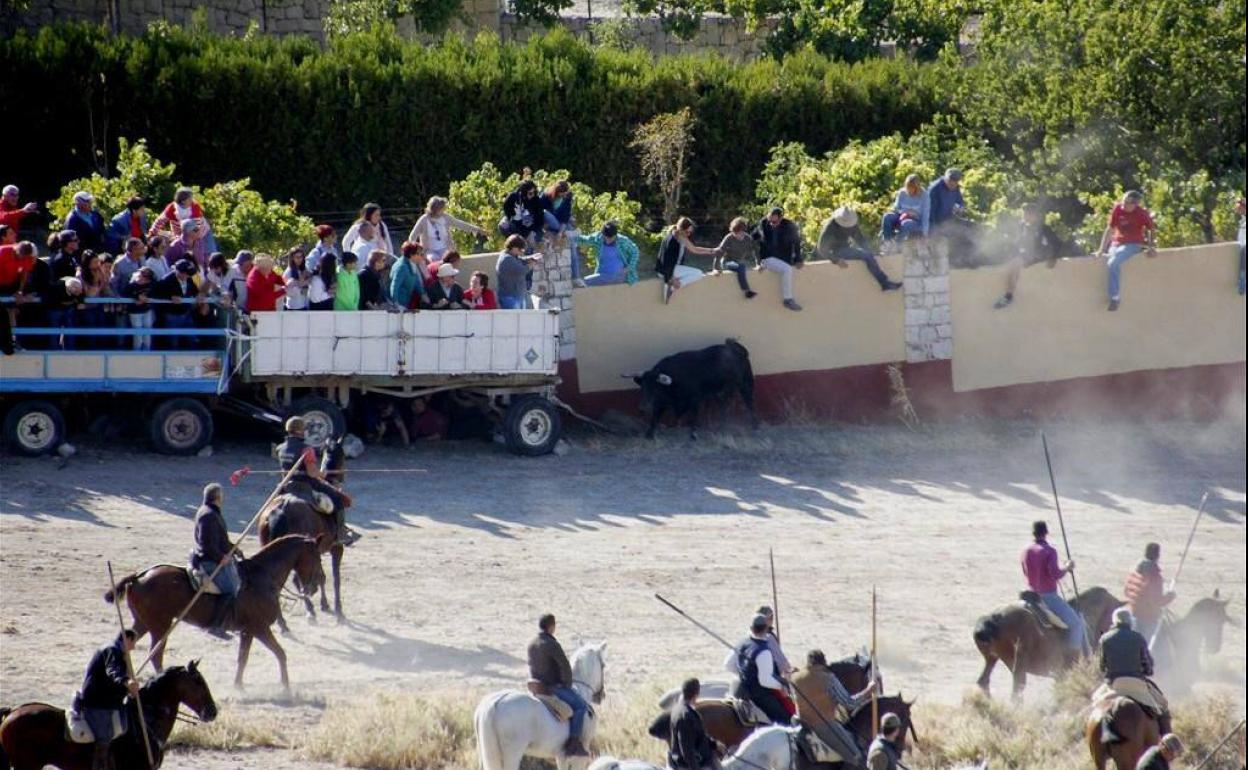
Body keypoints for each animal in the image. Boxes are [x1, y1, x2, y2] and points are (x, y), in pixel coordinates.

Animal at [106, 534, 326, 688]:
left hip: (143, 623)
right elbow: (281, 653)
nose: (318, 584)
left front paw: (239, 686)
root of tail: (138, 577)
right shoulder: (260, 628)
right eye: (317, 557)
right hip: (160, 625)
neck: (262, 576)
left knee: (127, 645)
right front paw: (286, 688)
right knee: (156, 654)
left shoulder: (248, 631)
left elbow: (243, 658)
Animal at [257, 434, 346, 626]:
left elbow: (320, 576)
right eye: (343, 455)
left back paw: (284, 623)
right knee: (296, 580)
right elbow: (335, 578)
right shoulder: (336, 548)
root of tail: (281, 509)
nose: (341, 477)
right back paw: (308, 613)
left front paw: (325, 605)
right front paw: (338, 612)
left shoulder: (314, 551)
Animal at [474, 638, 606, 768]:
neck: (580, 690)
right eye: (603, 665)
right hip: (512, 755)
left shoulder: (560, 756)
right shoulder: (579, 757)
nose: (601, 695)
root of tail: (495, 702)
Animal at [973, 586, 1123, 698]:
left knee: (984, 682)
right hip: (1019, 666)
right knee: (1016, 691)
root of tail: (994, 619)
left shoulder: (1059, 675)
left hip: (992, 659)